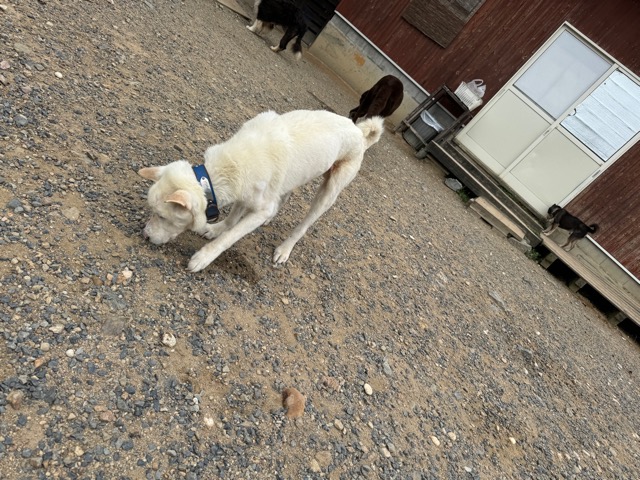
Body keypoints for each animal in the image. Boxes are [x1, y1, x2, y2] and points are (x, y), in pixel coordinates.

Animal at [138, 110, 384, 272]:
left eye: (162, 216)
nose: (145, 235)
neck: (228, 167)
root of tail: (359, 133)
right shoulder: (244, 192)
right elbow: (232, 219)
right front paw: (216, 229)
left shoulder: (259, 206)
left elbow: (230, 237)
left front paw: (204, 257)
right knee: (285, 195)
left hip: (329, 191)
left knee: (304, 225)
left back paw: (284, 250)